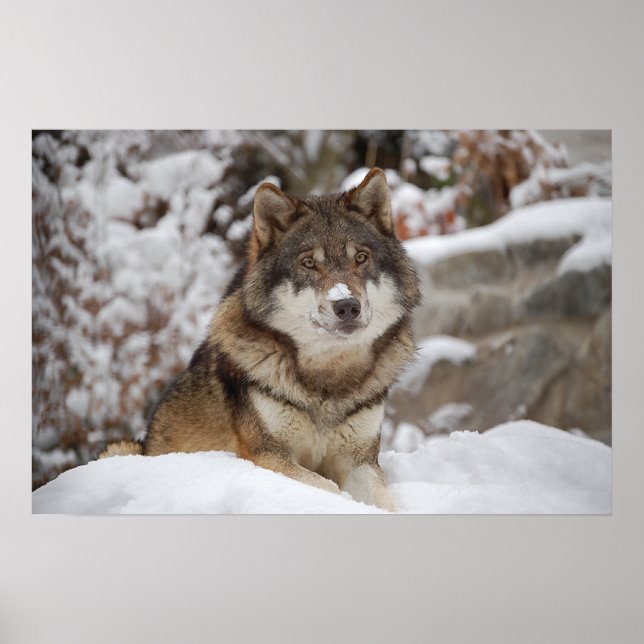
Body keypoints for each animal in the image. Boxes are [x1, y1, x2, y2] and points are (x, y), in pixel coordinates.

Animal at [102, 168, 420, 511]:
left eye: (361, 258)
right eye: (309, 263)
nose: (347, 305)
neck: (327, 380)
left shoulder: (359, 461)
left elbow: (386, 502)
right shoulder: (266, 455)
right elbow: (329, 489)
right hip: (120, 448)